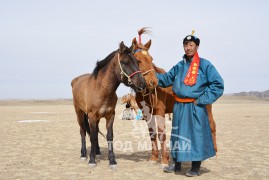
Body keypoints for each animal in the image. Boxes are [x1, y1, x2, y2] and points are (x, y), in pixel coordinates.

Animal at [71, 41, 146, 169]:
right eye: (125, 62)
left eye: (137, 62)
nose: (142, 84)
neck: (102, 90)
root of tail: (75, 81)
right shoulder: (91, 116)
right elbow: (92, 136)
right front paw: (92, 160)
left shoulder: (110, 115)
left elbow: (109, 136)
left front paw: (112, 161)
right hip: (79, 113)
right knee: (83, 131)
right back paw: (83, 154)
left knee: (94, 131)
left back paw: (97, 152)